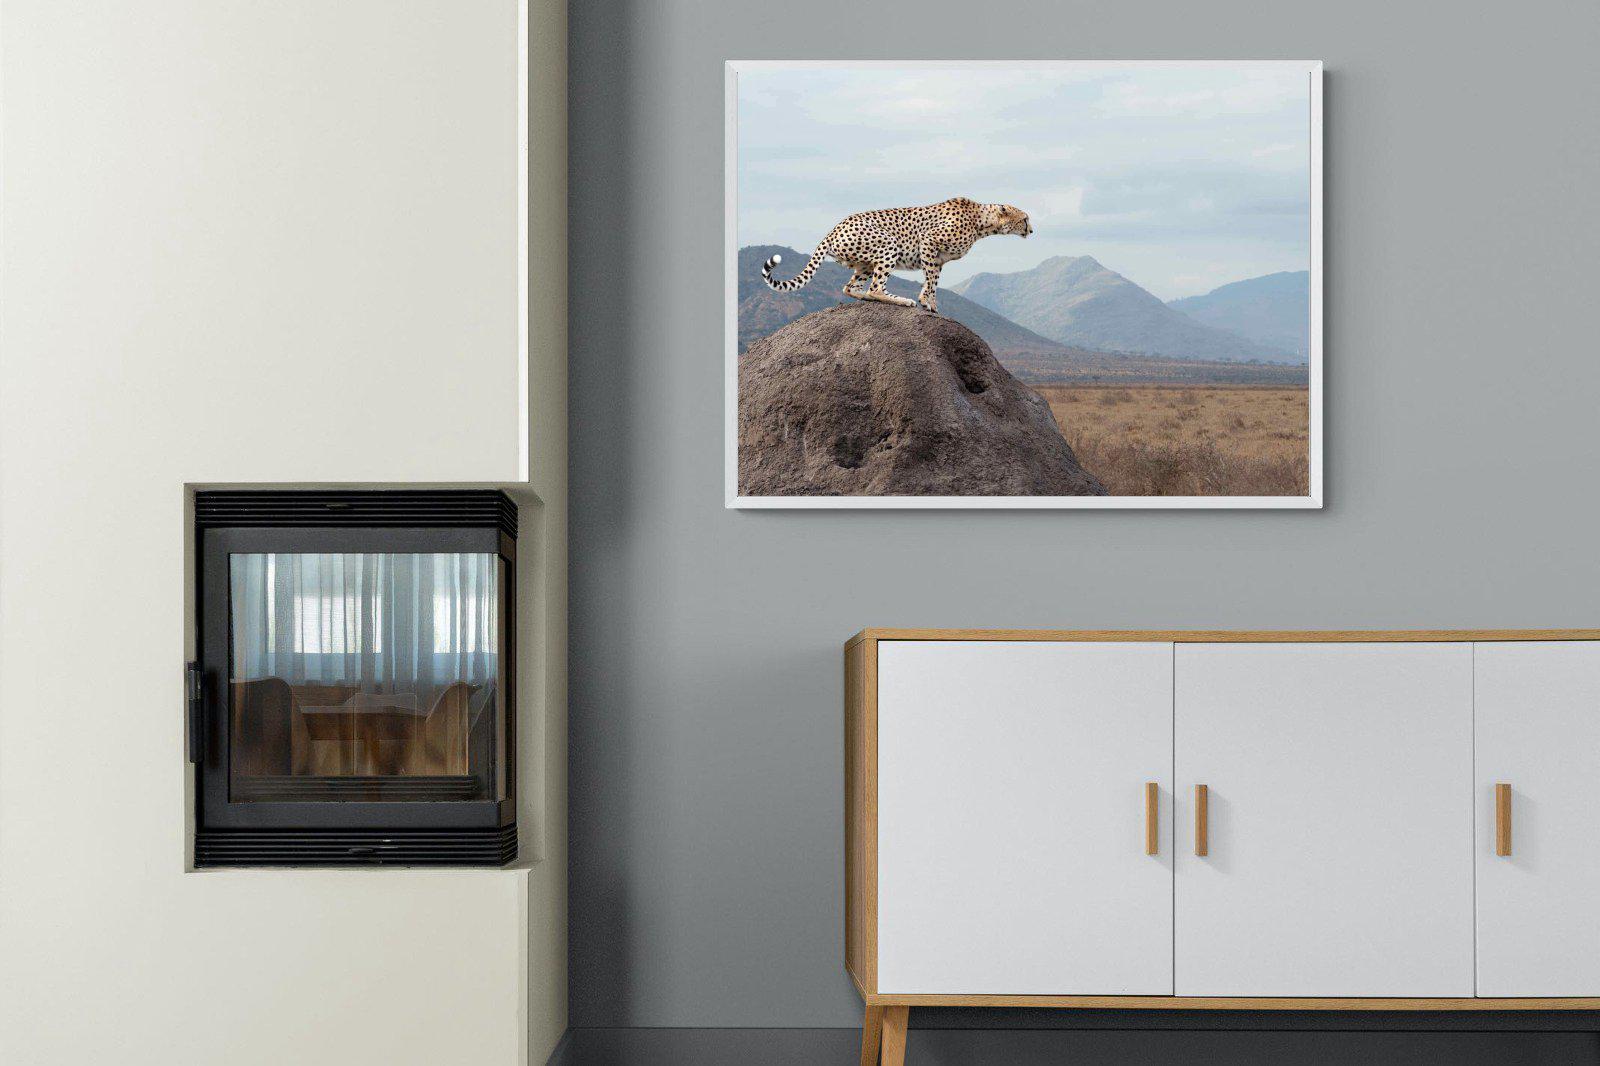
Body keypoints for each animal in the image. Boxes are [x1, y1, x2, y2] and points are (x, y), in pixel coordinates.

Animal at [760, 197, 1032, 314]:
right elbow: (930, 281)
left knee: (851, 287)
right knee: (876, 288)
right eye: (1025, 218)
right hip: (888, 244)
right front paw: (924, 301)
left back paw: (866, 298)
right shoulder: (928, 241)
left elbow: (933, 281)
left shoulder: (939, 259)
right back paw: (901, 300)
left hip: (864, 263)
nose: (1032, 230)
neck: (981, 222)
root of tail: (835, 227)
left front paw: (932, 304)